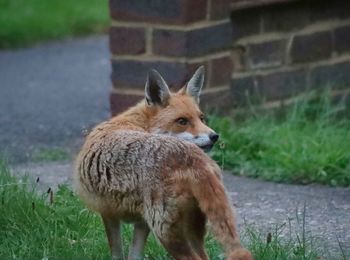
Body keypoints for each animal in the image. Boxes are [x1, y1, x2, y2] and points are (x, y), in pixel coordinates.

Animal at [74, 67, 252, 260]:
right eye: (182, 121)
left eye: (201, 118)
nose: (214, 136)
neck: (139, 123)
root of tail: (194, 159)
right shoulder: (141, 221)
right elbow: (134, 256)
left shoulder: (108, 213)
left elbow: (117, 255)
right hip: (191, 230)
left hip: (165, 232)